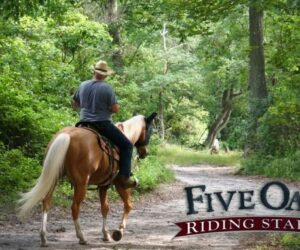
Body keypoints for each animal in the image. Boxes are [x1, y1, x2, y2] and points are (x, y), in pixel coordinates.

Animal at [17, 113, 157, 246]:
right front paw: (119, 231)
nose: (145, 152)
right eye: (150, 130)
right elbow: (128, 205)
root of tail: (66, 135)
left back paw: (44, 238)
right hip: (81, 184)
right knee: (75, 208)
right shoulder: (119, 183)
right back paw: (82, 238)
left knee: (46, 202)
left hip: (53, 178)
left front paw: (106, 235)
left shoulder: (103, 185)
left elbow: (105, 208)